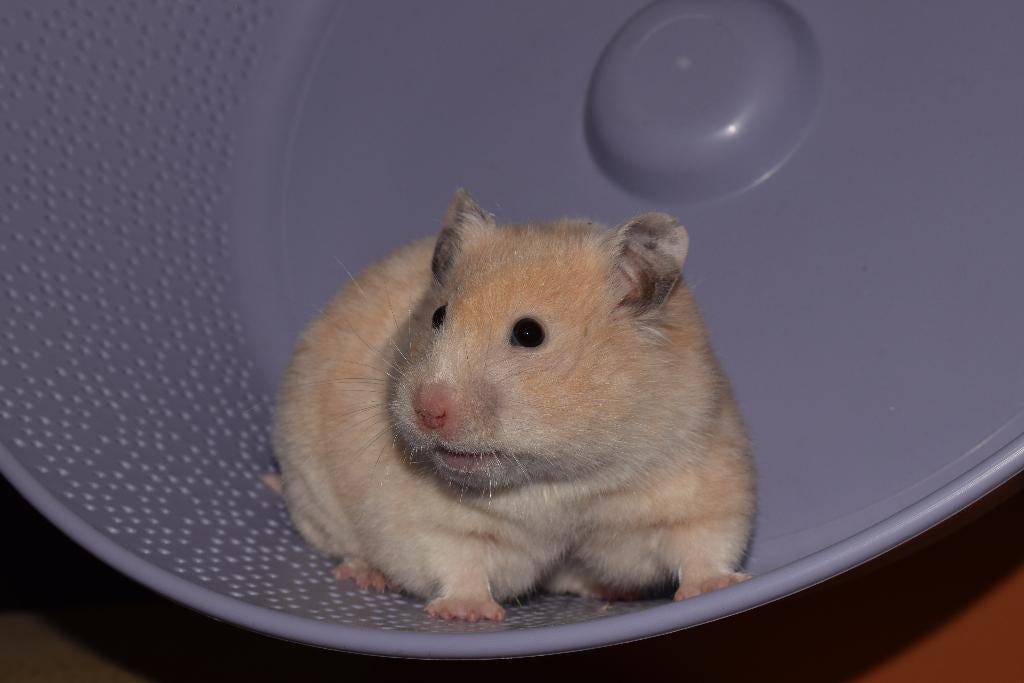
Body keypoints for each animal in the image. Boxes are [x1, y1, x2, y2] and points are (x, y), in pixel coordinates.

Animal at [272, 189, 755, 621]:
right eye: (438, 316)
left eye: (529, 333)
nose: (428, 411)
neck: (559, 479)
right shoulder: (435, 525)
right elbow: (457, 562)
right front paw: (467, 614)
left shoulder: (699, 484)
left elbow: (703, 544)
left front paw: (716, 587)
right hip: (310, 492)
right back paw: (367, 576)